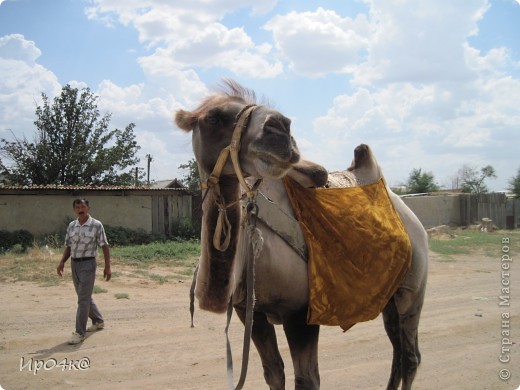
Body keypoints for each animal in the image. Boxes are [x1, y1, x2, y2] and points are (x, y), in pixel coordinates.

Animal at [177, 80, 428, 388]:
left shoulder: (301, 313)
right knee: (398, 352)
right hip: (388, 297)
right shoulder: (251, 311)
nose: (280, 128)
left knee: (410, 356)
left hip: (412, 290)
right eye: (213, 117)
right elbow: (273, 372)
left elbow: (307, 379)